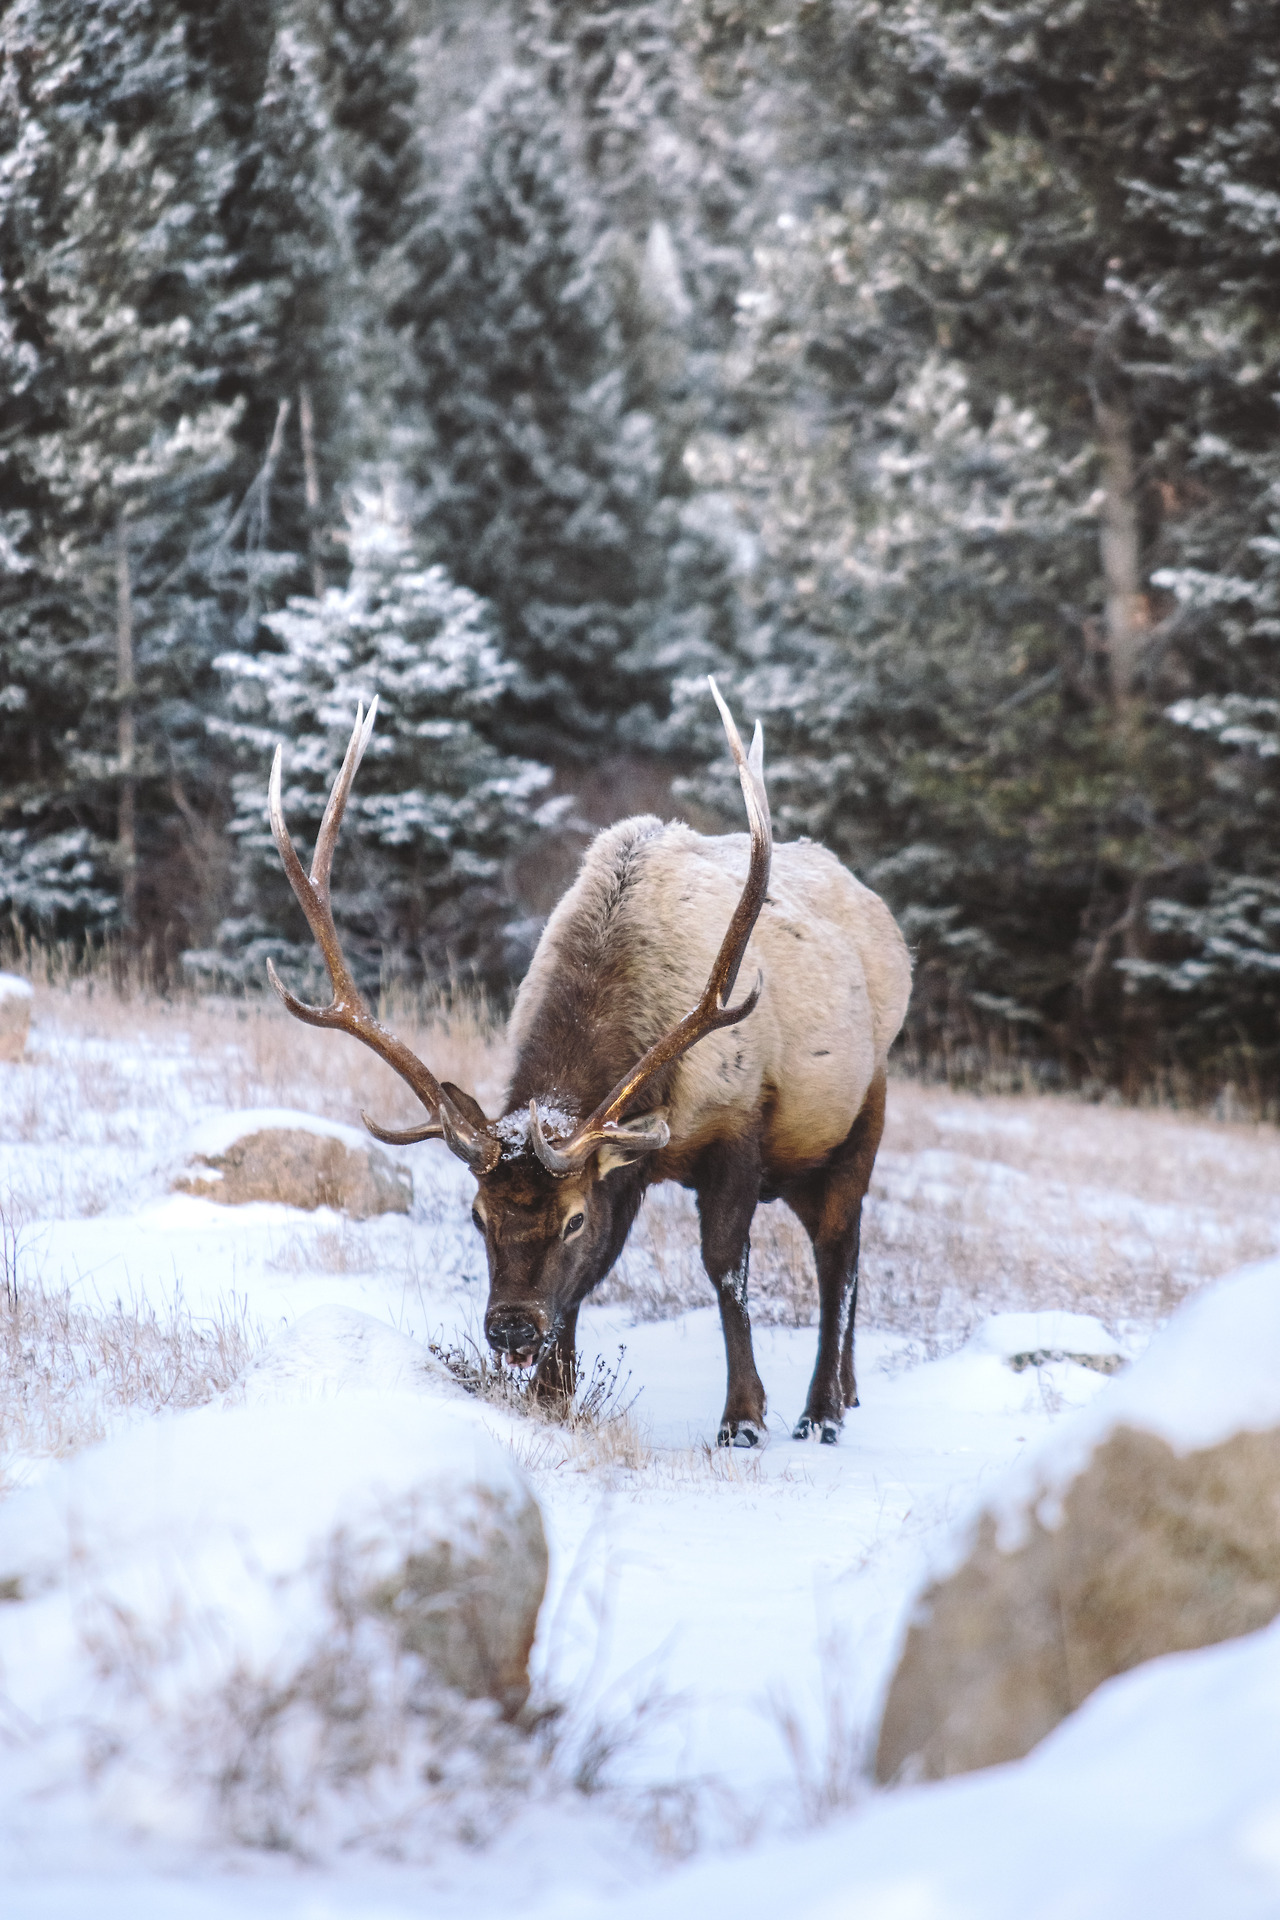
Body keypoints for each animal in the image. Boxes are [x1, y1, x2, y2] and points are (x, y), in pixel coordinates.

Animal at [268, 683, 909, 1443]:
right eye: (477, 1216)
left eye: (572, 1218)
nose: (512, 1330)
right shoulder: (626, 1165)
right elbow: (590, 1277)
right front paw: (554, 1394)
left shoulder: (738, 1123)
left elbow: (724, 1267)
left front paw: (744, 1417)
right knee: (845, 1247)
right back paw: (849, 1391)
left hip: (858, 1111)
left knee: (840, 1252)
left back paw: (822, 1409)